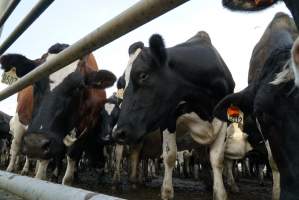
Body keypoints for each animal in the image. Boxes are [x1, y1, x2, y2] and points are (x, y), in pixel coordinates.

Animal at [0, 44, 116, 184]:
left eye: (78, 87)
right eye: (35, 82)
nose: (35, 143)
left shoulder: (86, 128)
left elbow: (71, 158)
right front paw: (41, 176)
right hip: (19, 123)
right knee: (16, 148)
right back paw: (15, 168)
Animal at [112, 30, 253, 199]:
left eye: (143, 75)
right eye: (121, 83)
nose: (119, 133)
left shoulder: (222, 120)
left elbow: (215, 159)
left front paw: (219, 192)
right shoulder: (168, 118)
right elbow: (170, 155)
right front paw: (166, 192)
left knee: (136, 154)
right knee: (122, 155)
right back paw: (119, 181)